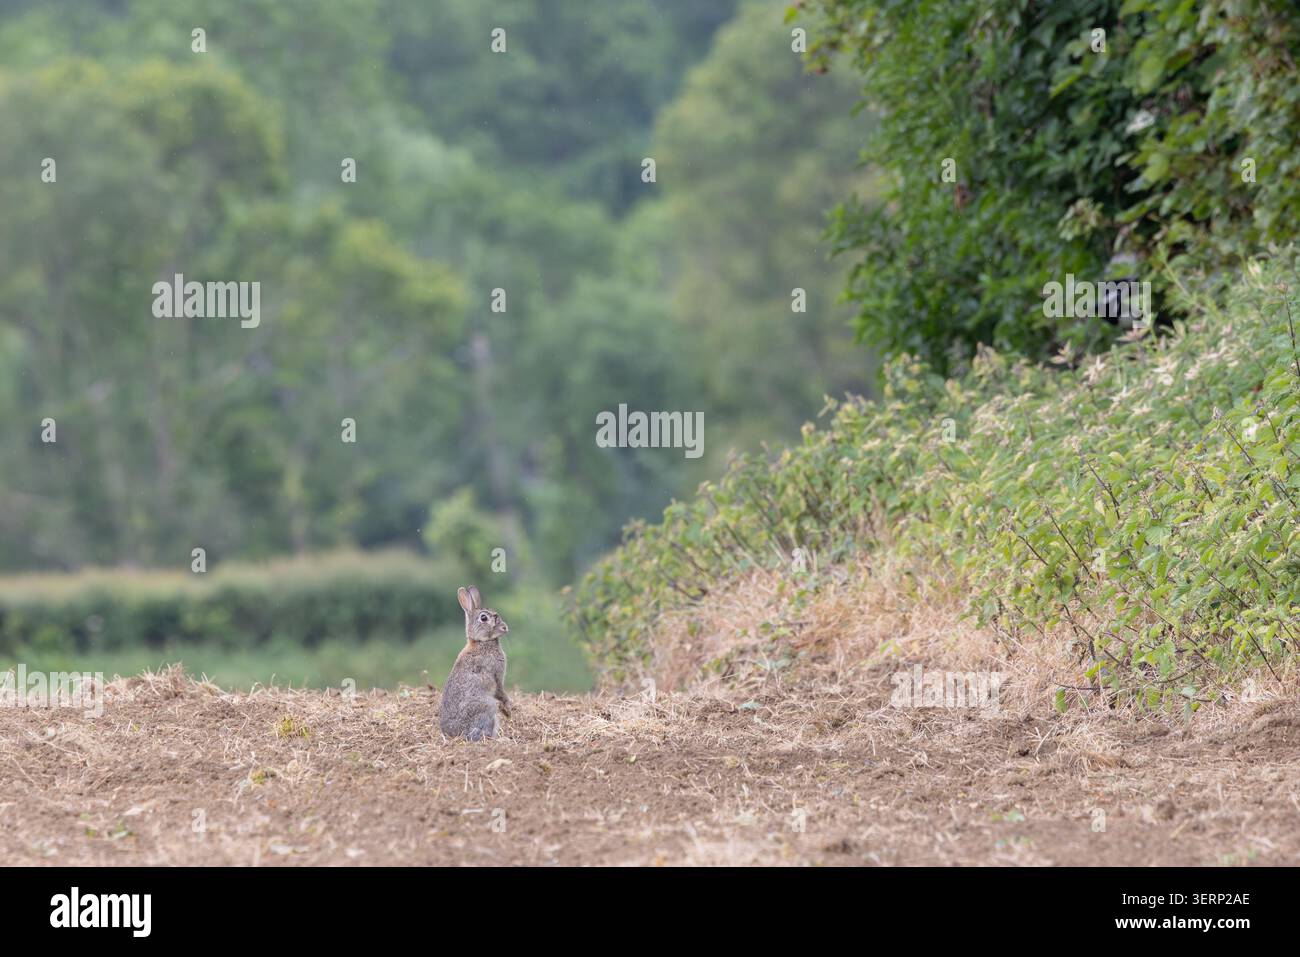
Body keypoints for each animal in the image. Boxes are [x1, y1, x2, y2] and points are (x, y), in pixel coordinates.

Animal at [438, 585, 511, 741]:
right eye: (484, 618)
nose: (505, 628)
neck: (480, 642)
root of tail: (455, 735)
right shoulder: (496, 675)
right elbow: (501, 692)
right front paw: (509, 710)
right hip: (487, 707)